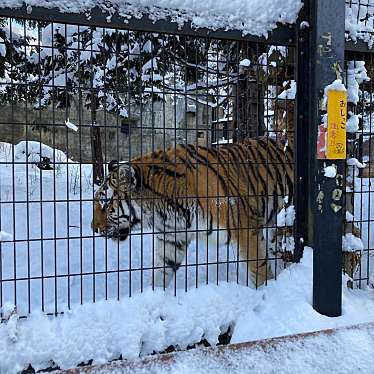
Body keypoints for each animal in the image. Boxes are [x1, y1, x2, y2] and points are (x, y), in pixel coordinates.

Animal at [91, 138, 296, 290]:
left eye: (105, 204)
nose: (93, 229)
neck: (163, 211)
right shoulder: (172, 239)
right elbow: (160, 273)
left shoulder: (246, 230)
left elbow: (258, 271)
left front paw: (264, 295)